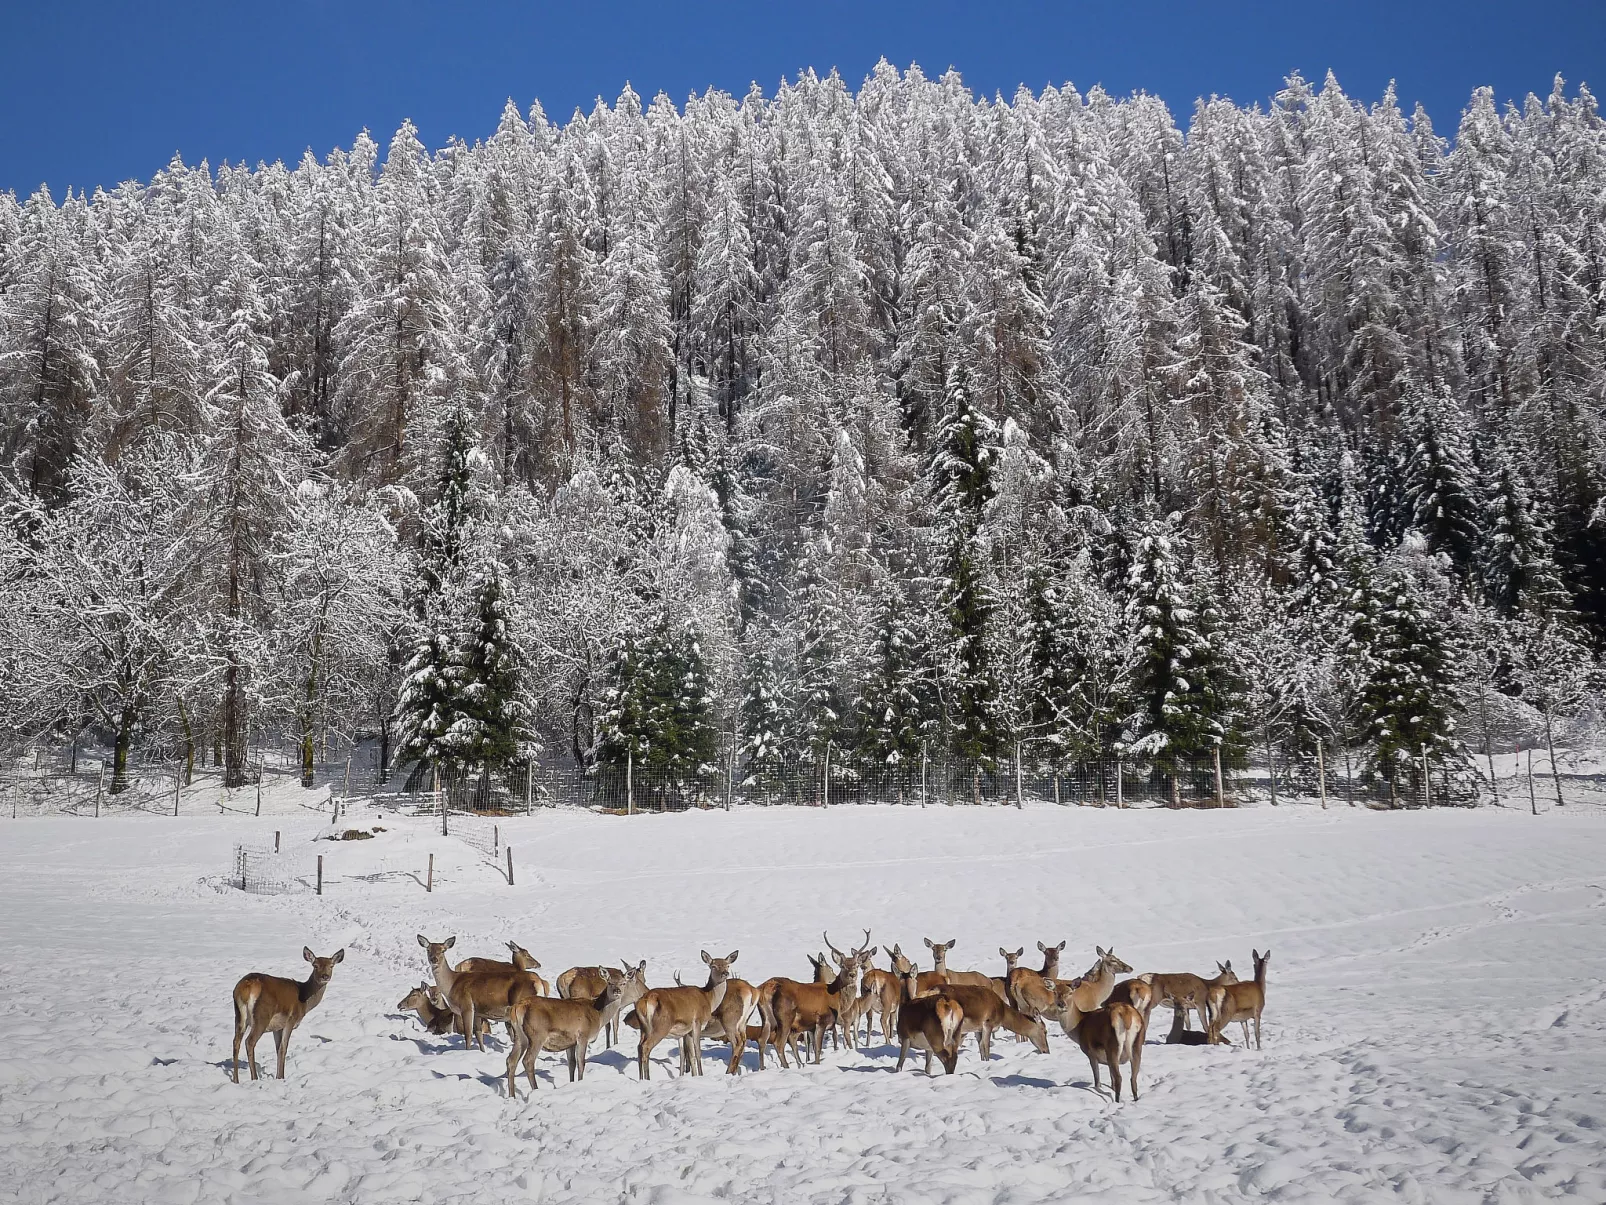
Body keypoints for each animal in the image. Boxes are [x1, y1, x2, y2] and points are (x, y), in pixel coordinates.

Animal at [231, 951, 343, 1086]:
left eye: (331, 966)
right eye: (315, 965)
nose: (325, 976)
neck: (305, 1001)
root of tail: (247, 986)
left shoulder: (277, 1027)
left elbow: (278, 1048)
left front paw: (278, 1076)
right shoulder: (291, 1020)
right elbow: (283, 1048)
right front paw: (281, 1077)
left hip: (239, 1016)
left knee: (236, 1042)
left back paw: (236, 1080)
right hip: (262, 1016)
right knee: (249, 1041)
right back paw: (255, 1078)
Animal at [507, 957, 645, 1098]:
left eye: (623, 983)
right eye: (610, 982)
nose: (617, 991)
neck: (598, 1015)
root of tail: (518, 1007)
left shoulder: (570, 1041)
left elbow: (572, 1063)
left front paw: (571, 1083)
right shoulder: (583, 1035)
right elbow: (581, 1063)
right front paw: (580, 1083)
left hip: (520, 1036)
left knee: (511, 1060)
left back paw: (512, 1095)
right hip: (537, 1035)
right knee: (528, 1061)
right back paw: (535, 1090)